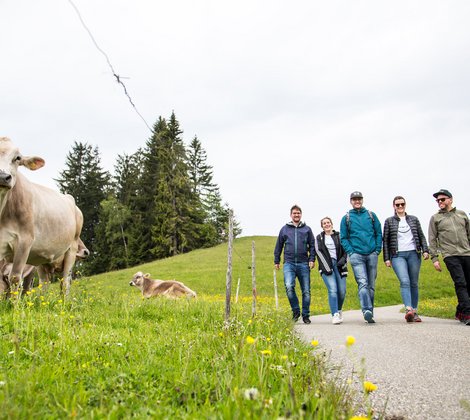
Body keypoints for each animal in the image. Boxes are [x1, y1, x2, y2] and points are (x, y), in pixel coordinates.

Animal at [0, 137, 84, 296]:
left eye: (17, 158)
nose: (3, 177)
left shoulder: (24, 242)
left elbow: (15, 278)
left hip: (71, 248)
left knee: (65, 282)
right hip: (41, 260)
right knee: (44, 284)